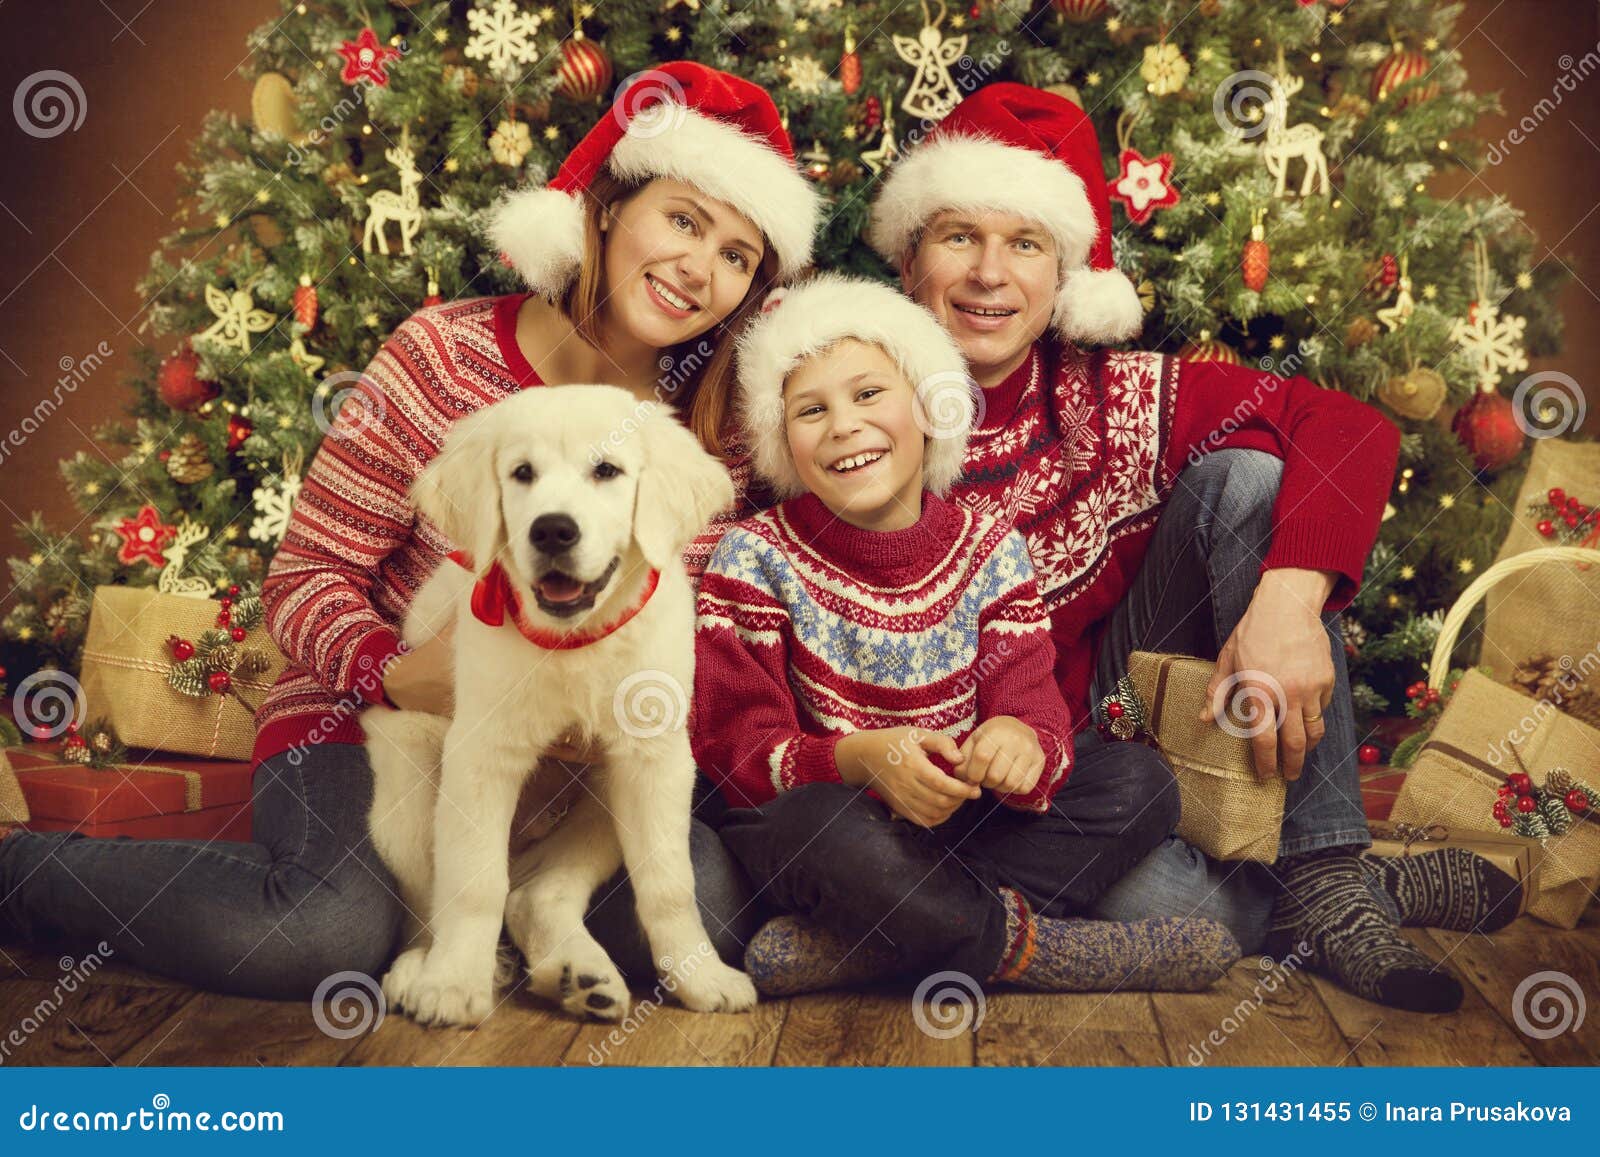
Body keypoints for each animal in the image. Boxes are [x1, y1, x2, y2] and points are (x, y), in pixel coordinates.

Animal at [363, 384, 755, 1024]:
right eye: (522, 473)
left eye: (607, 471)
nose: (552, 531)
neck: (574, 642)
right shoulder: (480, 754)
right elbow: (472, 882)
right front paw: (454, 985)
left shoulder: (655, 762)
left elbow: (669, 885)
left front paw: (702, 978)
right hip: (409, 782)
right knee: (428, 901)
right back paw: (423, 971)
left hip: (601, 798)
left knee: (534, 891)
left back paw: (581, 977)